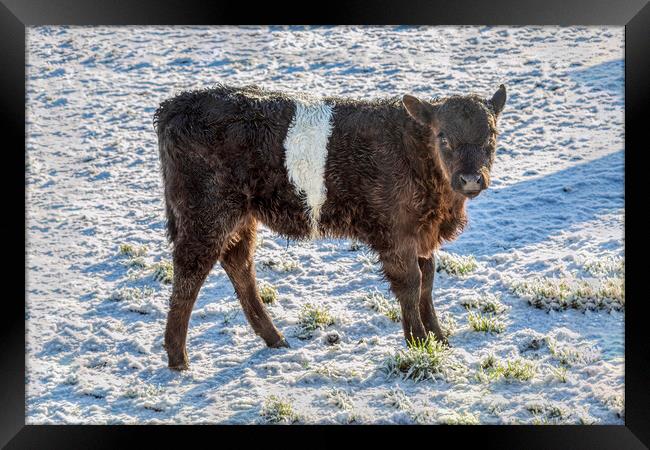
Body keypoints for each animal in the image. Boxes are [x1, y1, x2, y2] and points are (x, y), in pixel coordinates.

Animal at [154, 83, 504, 370]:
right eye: (443, 137)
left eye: (491, 137)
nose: (471, 179)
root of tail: (175, 105)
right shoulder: (397, 236)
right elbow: (412, 284)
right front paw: (417, 342)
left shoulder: (423, 235)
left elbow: (428, 282)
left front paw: (439, 339)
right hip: (205, 216)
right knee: (189, 274)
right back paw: (178, 358)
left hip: (240, 217)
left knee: (239, 265)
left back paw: (275, 338)